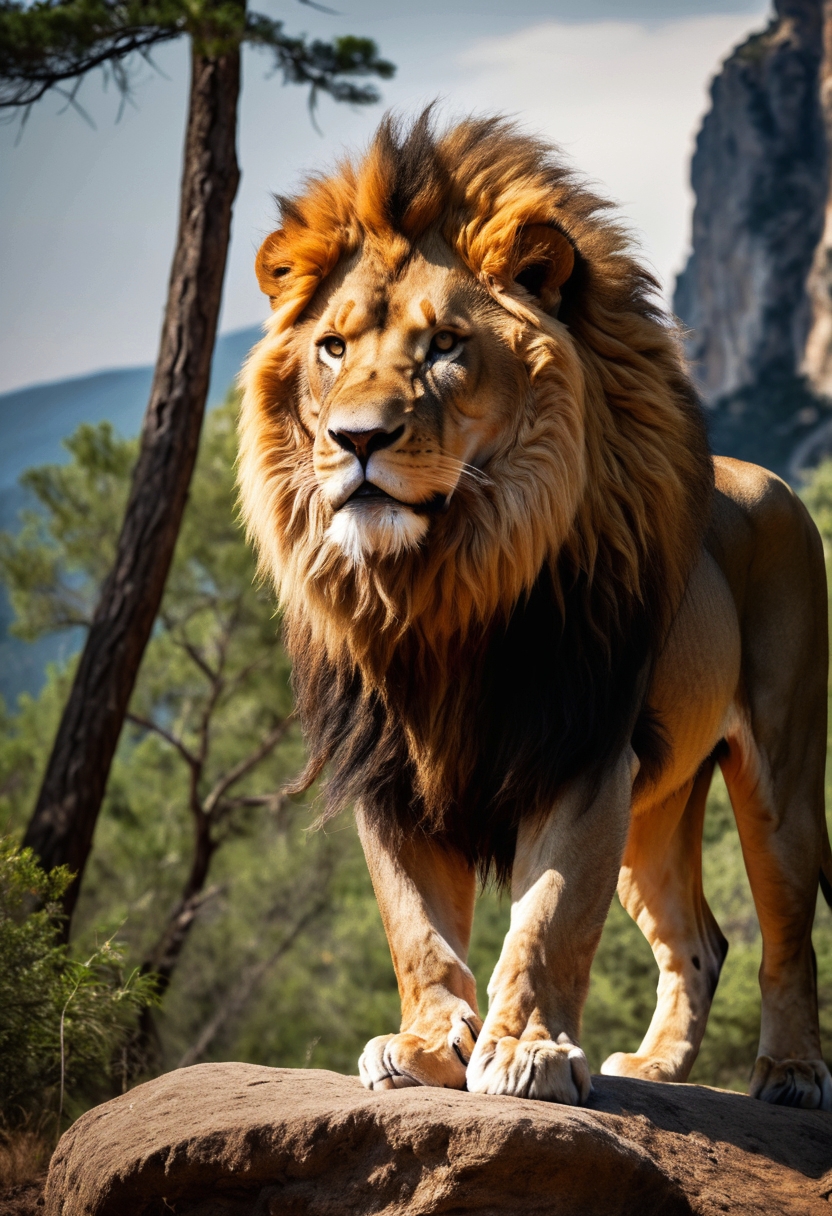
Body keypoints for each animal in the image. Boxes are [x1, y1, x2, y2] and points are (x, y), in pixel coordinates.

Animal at [238, 111, 832, 1109]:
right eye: (333, 348)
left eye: (444, 346)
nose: (357, 439)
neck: (439, 589)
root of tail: (768, 480)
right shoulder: (390, 773)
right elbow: (416, 929)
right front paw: (425, 1044)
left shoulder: (582, 750)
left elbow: (547, 919)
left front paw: (527, 1053)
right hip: (656, 807)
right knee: (698, 940)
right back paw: (656, 1064)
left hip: (780, 781)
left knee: (787, 935)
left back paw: (790, 1072)